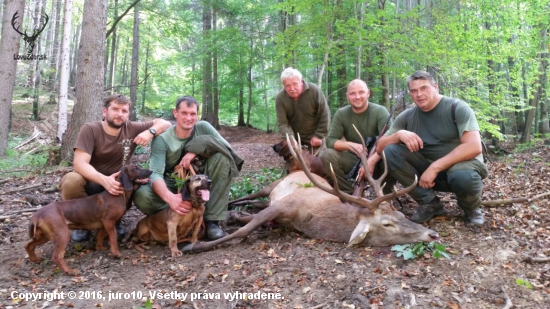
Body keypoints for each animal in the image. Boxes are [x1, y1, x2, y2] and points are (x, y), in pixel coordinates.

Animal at [183, 128, 442, 253]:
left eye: (400, 214)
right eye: (387, 223)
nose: (433, 234)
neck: (308, 219)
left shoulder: (280, 212)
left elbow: (251, 221)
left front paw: (237, 218)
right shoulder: (284, 204)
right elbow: (244, 230)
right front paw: (194, 246)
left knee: (256, 204)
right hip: (272, 186)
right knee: (250, 196)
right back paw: (230, 207)